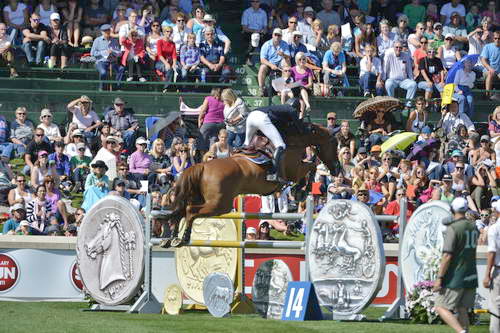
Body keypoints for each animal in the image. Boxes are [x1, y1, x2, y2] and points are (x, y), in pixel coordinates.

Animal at [162, 122, 338, 246]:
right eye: (335, 144)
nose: (337, 169)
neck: (294, 140)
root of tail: (202, 166)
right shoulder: (294, 170)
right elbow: (312, 166)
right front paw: (301, 190)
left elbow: (311, 166)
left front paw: (300, 190)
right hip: (219, 204)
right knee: (190, 211)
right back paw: (183, 239)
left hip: (200, 198)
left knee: (180, 211)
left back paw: (171, 239)